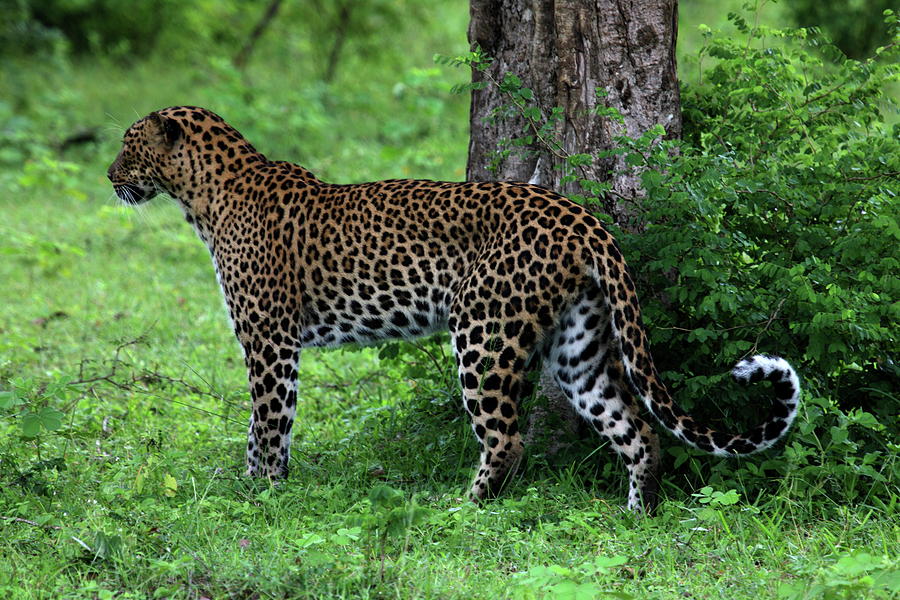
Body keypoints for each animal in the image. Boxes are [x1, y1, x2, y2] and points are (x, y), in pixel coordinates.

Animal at [107, 106, 800, 510]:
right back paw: (638, 516)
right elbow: (261, 427)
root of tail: (583, 218)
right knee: (637, 428)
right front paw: (255, 490)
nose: (108, 176)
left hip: (483, 333)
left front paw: (262, 497)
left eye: (128, 146)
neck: (202, 196)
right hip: (579, 347)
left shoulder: (270, 342)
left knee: (508, 438)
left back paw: (464, 510)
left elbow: (269, 424)